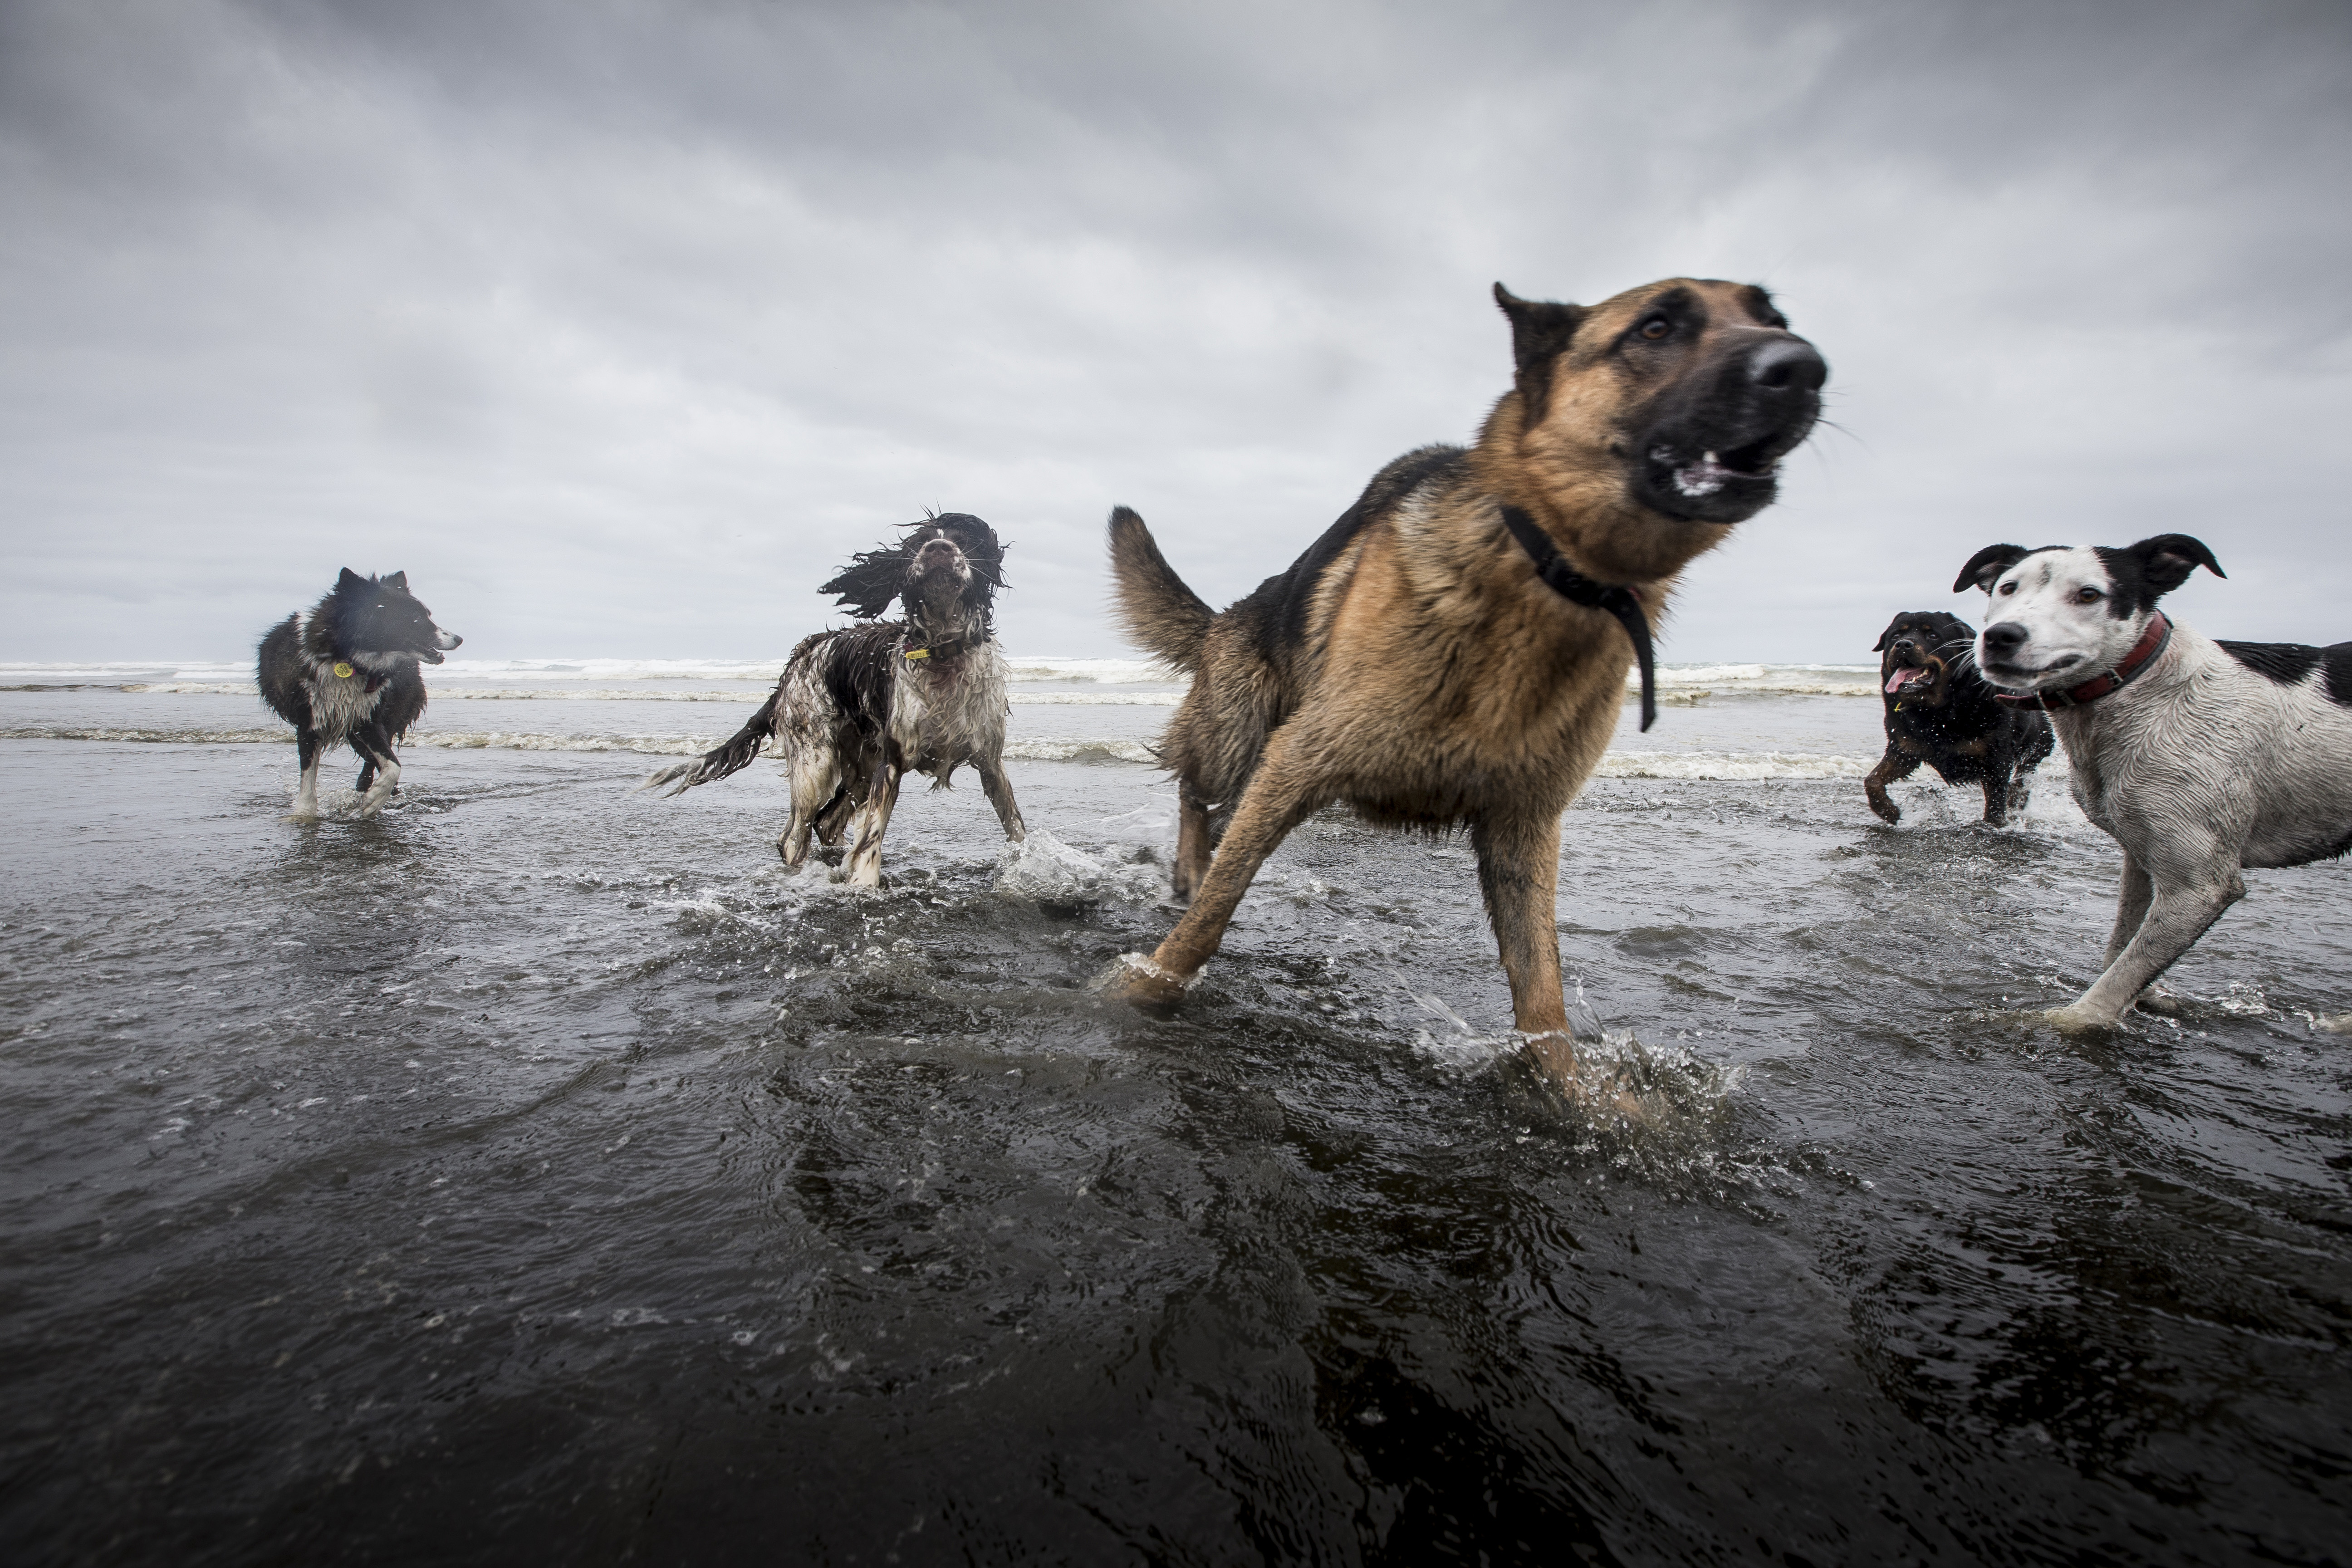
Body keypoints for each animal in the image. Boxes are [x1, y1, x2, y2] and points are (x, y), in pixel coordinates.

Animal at [260, 566, 461, 823]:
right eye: (415, 618)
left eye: (428, 615)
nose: (459, 639)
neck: (348, 658)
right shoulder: (310, 720)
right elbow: (308, 775)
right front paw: (304, 813)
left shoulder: (367, 717)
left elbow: (393, 766)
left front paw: (373, 800)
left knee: (375, 758)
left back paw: (370, 787)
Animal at [640, 512, 1025, 884]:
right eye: (919, 543)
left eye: (963, 541)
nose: (938, 548)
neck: (943, 652)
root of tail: (795, 662)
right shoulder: (892, 762)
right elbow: (871, 840)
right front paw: (864, 884)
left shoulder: (990, 762)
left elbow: (1017, 829)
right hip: (815, 760)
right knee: (794, 835)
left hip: (863, 766)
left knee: (825, 822)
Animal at [1091, 278, 1825, 1091]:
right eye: (1656, 328)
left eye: (1774, 318)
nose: (1802, 369)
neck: (1551, 579)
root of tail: (1230, 614)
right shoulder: (1298, 760)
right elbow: (1214, 913)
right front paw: (1142, 988)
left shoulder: (1524, 825)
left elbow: (1543, 992)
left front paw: (1577, 1092)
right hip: (1241, 736)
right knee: (1197, 793)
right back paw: (1188, 867)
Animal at [1862, 611, 2051, 827]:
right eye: (1895, 636)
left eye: (1933, 636)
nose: (1903, 644)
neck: (1937, 711)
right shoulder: (1905, 749)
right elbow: (1872, 780)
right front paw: (1888, 811)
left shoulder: (1996, 759)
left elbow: (1995, 804)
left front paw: (1995, 824)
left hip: (2038, 745)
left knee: (2024, 776)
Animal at [1947, 534, 2352, 1034]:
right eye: (2007, 588)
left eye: (2089, 594)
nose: (2002, 636)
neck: (2141, 685)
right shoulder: (2142, 852)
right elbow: (2124, 946)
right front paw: (2151, 994)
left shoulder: (2201, 886)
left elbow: (2119, 978)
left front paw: (2067, 1020)